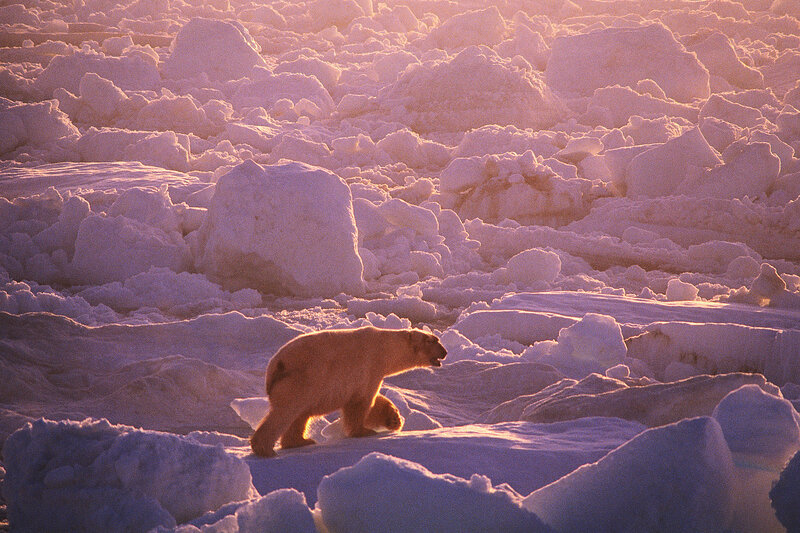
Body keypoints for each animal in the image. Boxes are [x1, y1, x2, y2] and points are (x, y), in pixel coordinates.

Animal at [250, 326, 447, 457]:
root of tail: (275, 366)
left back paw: (301, 441)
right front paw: (365, 431)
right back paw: (265, 449)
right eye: (432, 340)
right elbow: (362, 402)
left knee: (299, 416)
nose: (444, 352)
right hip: (302, 380)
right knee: (286, 412)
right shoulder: (369, 366)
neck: (385, 348)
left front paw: (393, 419)